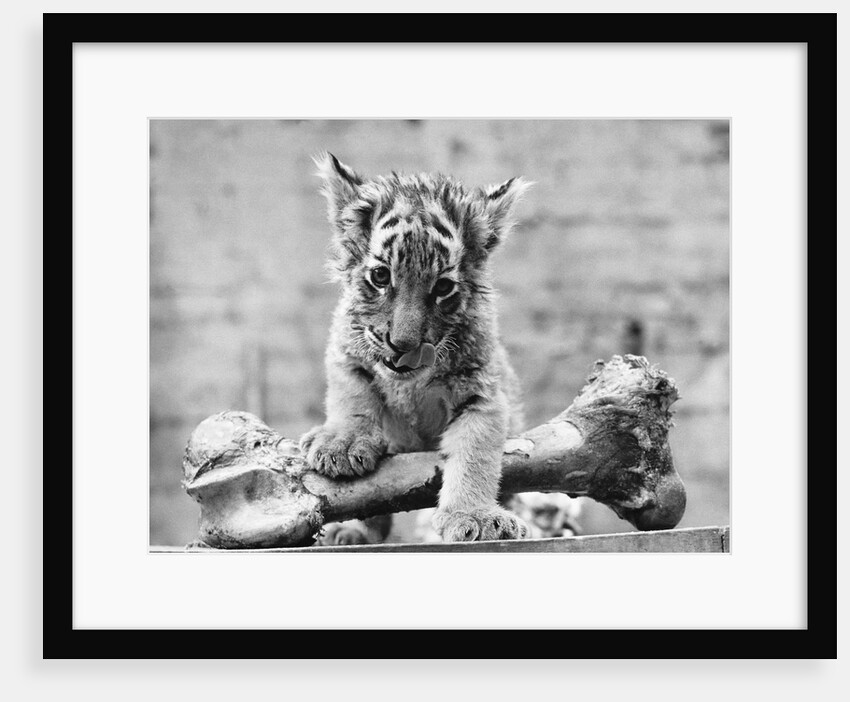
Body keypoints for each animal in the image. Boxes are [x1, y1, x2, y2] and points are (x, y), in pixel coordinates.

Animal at [300, 153, 532, 543]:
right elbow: (352, 395)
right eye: (380, 276)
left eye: (443, 287)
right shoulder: (347, 353)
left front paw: (474, 515)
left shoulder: (481, 393)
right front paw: (342, 443)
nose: (402, 345)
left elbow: (474, 455)